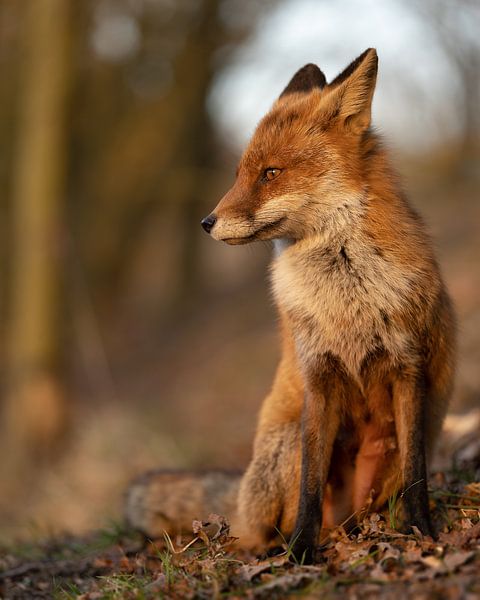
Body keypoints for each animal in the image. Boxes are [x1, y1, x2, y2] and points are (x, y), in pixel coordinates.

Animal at [125, 48, 456, 564]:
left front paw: (423, 532)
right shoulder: (318, 374)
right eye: (239, 174)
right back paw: (278, 547)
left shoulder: (409, 368)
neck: (347, 297)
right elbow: (310, 489)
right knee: (264, 528)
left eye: (270, 173)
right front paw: (302, 551)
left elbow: (418, 475)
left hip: (382, 468)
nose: (206, 222)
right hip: (285, 446)